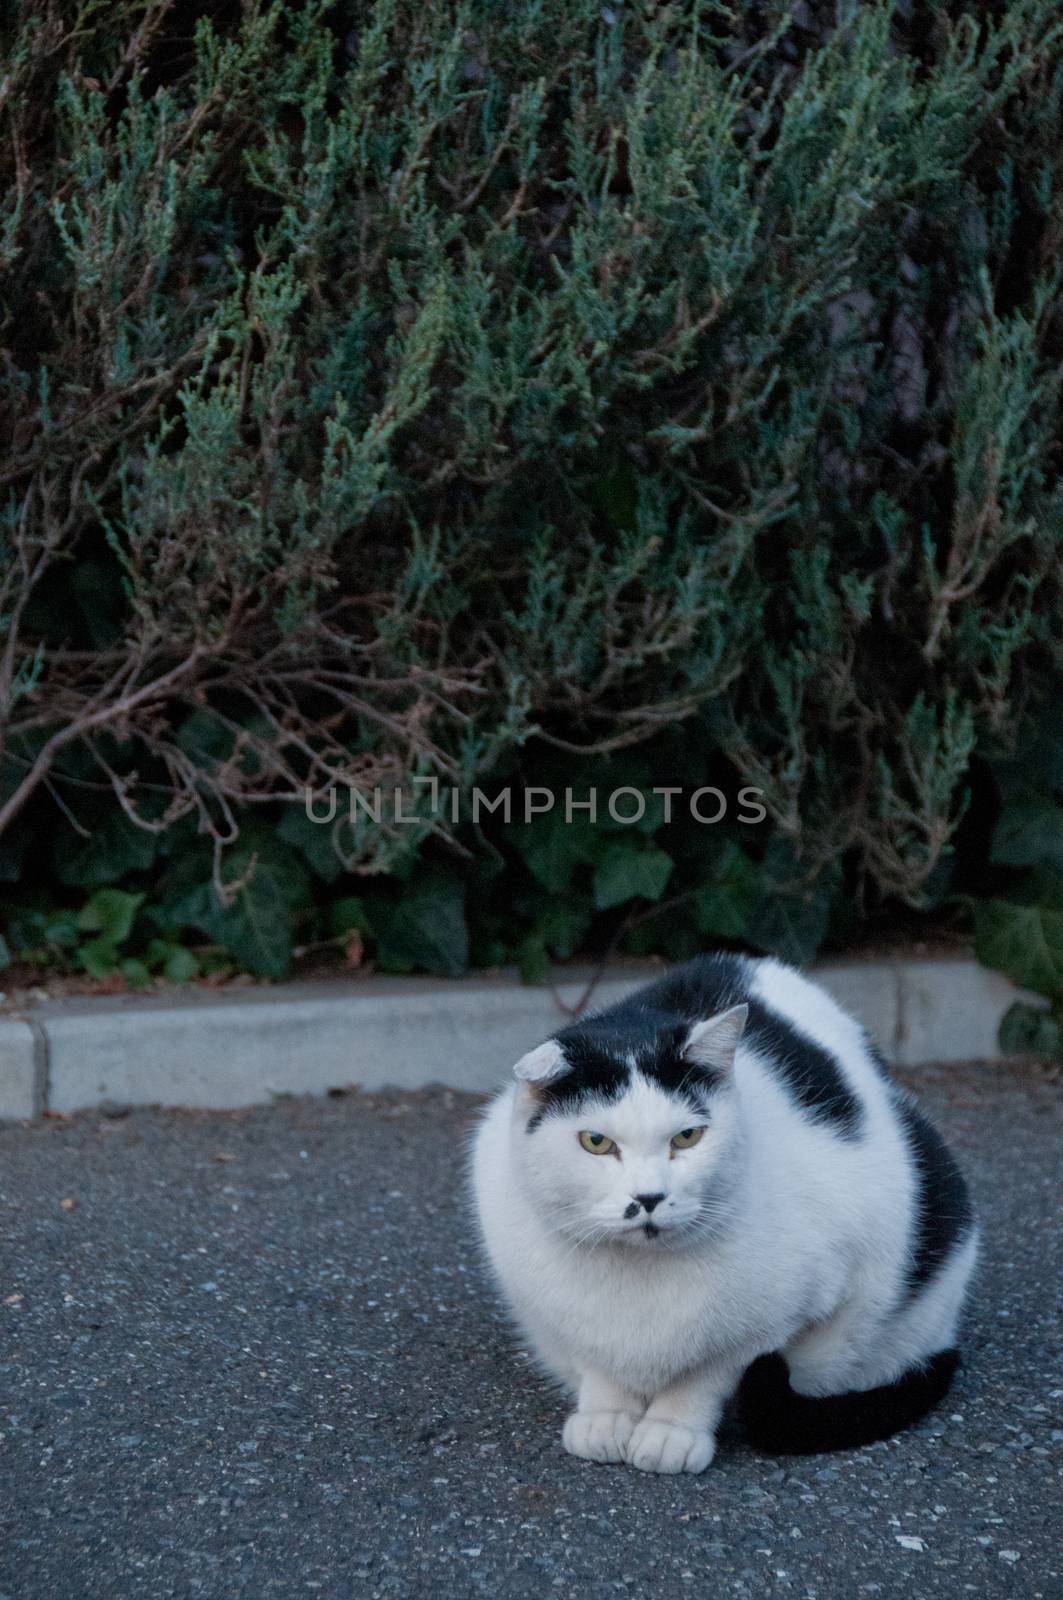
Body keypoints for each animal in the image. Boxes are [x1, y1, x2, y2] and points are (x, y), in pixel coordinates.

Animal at [470, 947, 973, 1472]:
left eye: (687, 1137)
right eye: (596, 1142)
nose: (649, 1198)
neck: (639, 1278)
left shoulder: (775, 1322)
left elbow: (706, 1375)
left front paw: (671, 1431)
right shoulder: (560, 1319)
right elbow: (596, 1362)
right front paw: (605, 1417)